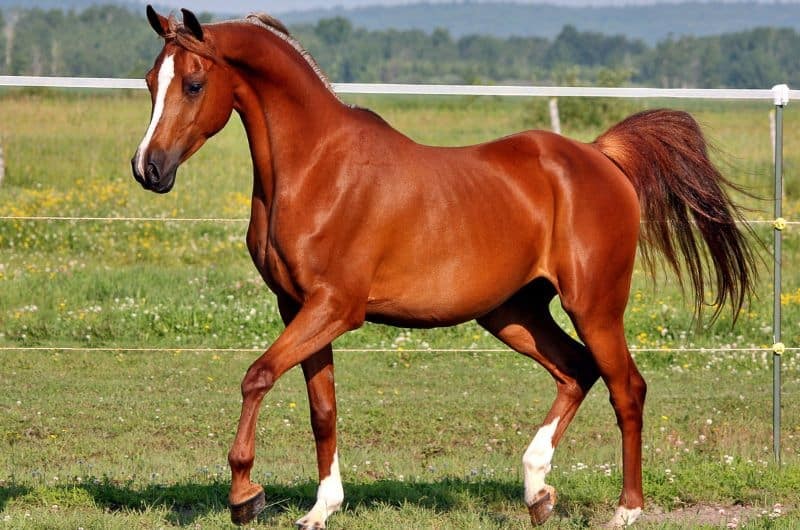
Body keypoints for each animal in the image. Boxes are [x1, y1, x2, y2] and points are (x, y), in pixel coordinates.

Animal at [131, 6, 756, 528]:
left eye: (194, 83)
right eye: (149, 82)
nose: (148, 169)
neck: (316, 168)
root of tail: (601, 157)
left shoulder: (335, 307)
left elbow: (257, 375)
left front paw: (245, 495)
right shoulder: (299, 307)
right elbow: (322, 409)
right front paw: (320, 510)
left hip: (595, 305)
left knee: (626, 387)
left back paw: (626, 510)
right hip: (513, 313)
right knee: (576, 370)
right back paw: (537, 491)